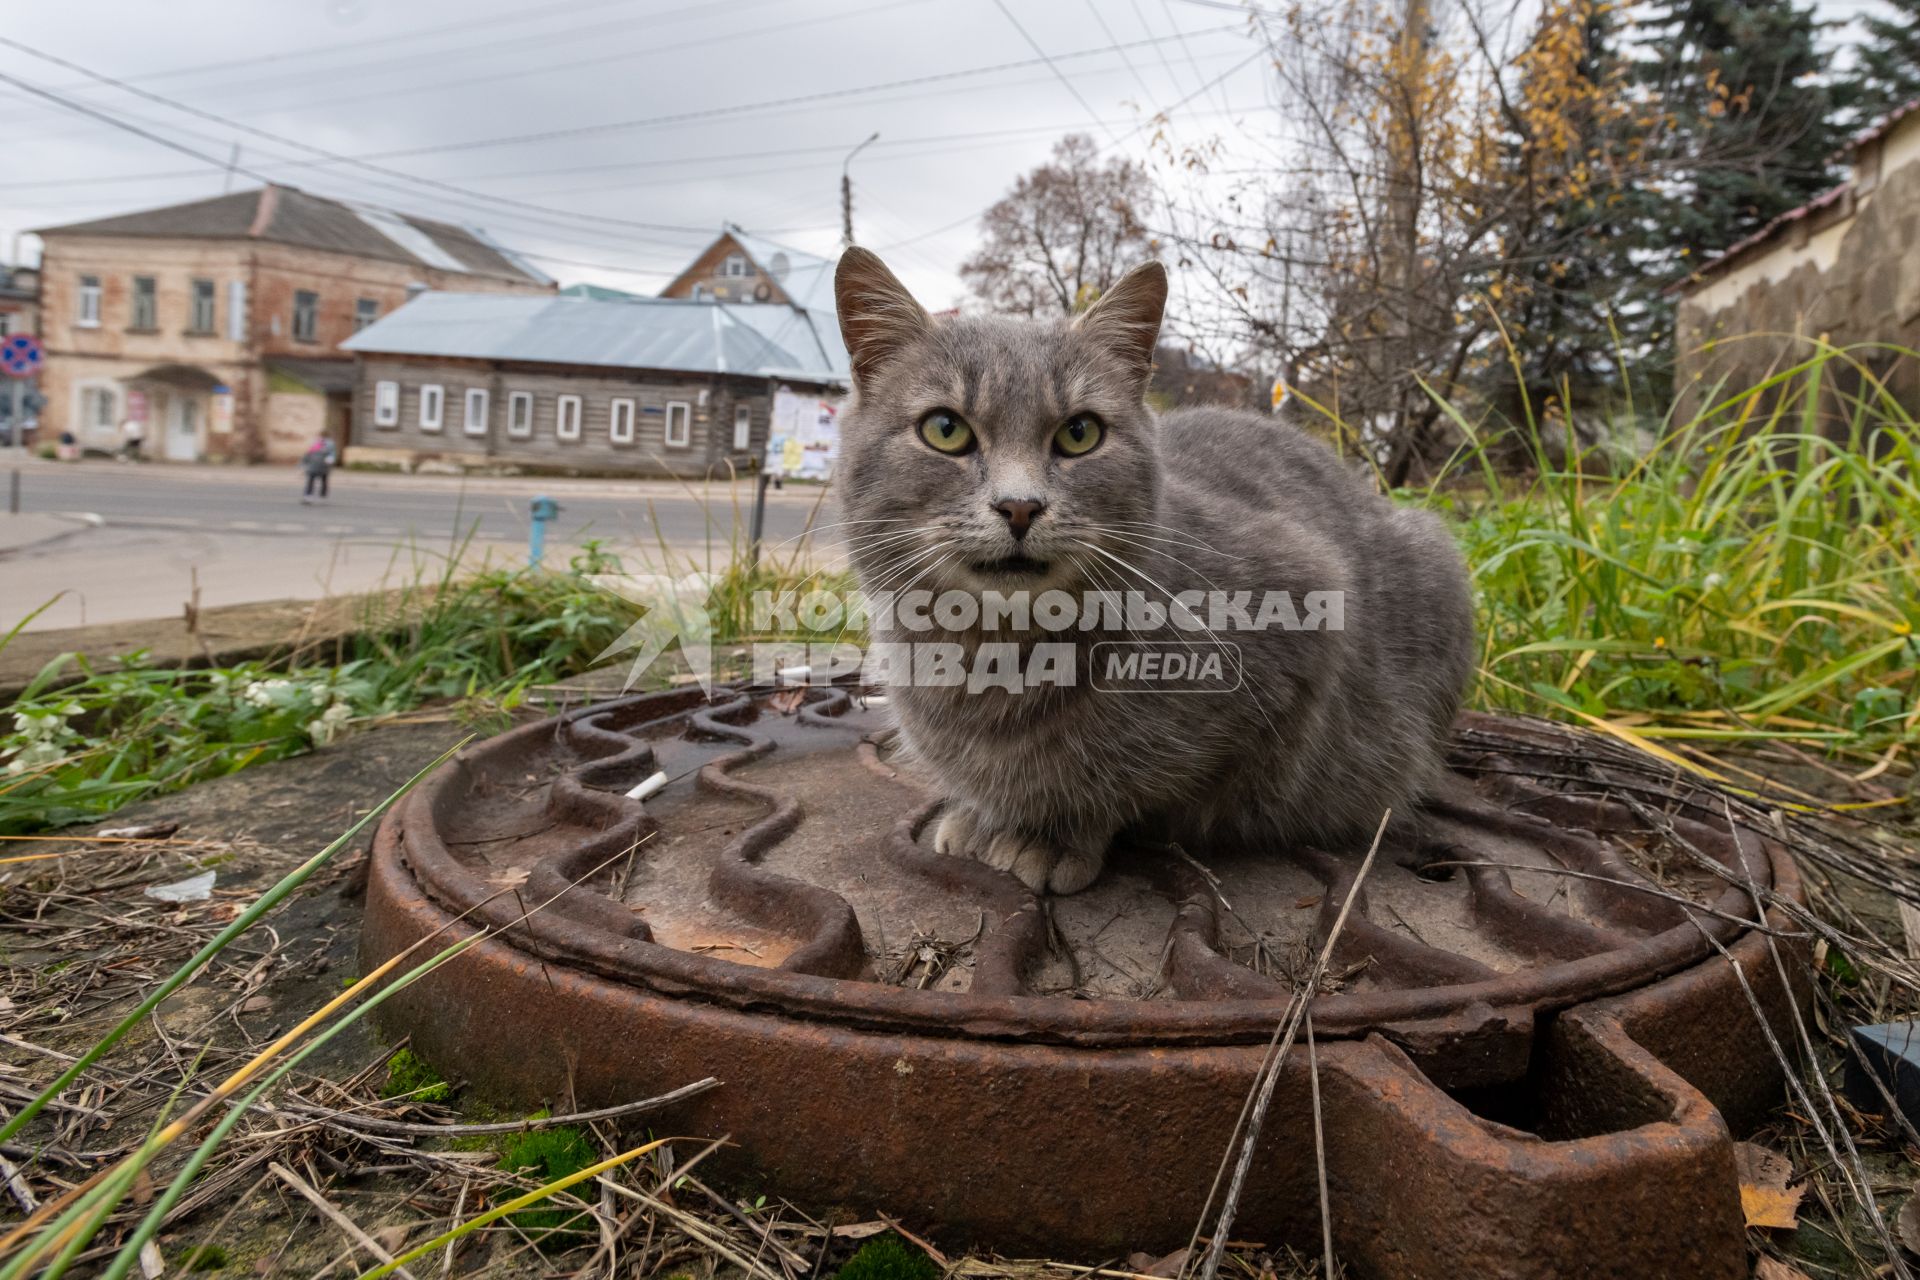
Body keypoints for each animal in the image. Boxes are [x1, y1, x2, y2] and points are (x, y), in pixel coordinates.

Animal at [825, 247, 1466, 890]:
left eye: (1079, 433)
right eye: (946, 429)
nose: (1020, 506)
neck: (991, 658)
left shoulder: (1309, 611)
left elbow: (1131, 786)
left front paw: (1047, 833)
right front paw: (982, 814)